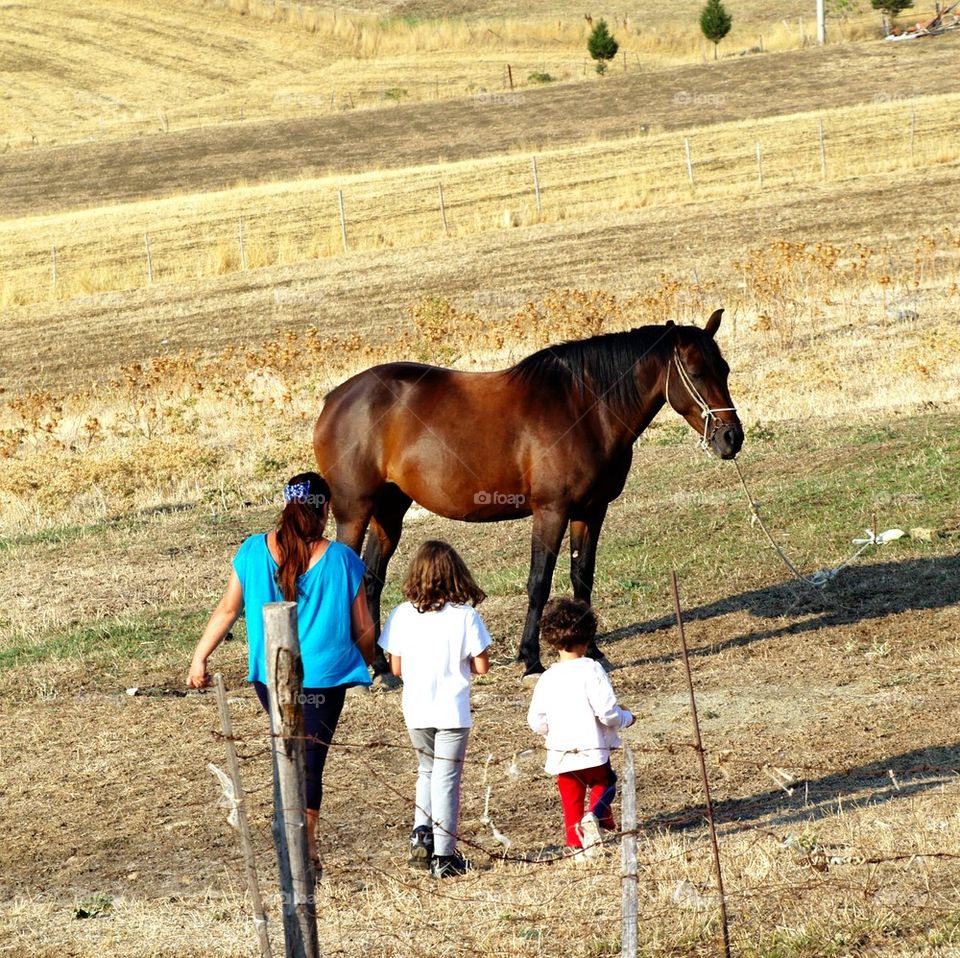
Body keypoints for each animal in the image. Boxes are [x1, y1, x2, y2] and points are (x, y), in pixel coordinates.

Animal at [316, 312, 744, 680]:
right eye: (696, 372)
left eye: (723, 369)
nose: (731, 437)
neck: (585, 407)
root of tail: (335, 399)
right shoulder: (551, 511)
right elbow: (539, 582)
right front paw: (531, 659)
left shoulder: (590, 511)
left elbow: (582, 576)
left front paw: (592, 651)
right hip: (354, 513)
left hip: (389, 511)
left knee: (370, 580)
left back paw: (381, 668)